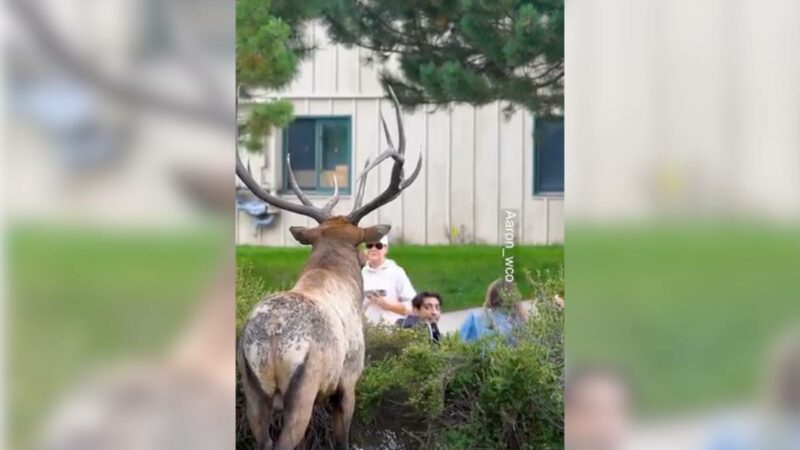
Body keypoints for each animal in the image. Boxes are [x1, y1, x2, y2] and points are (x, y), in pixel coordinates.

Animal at [234, 88, 422, 450]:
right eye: (362, 245)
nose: (366, 259)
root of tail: (273, 334)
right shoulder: (348, 379)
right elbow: (342, 439)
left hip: (251, 386)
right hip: (303, 386)